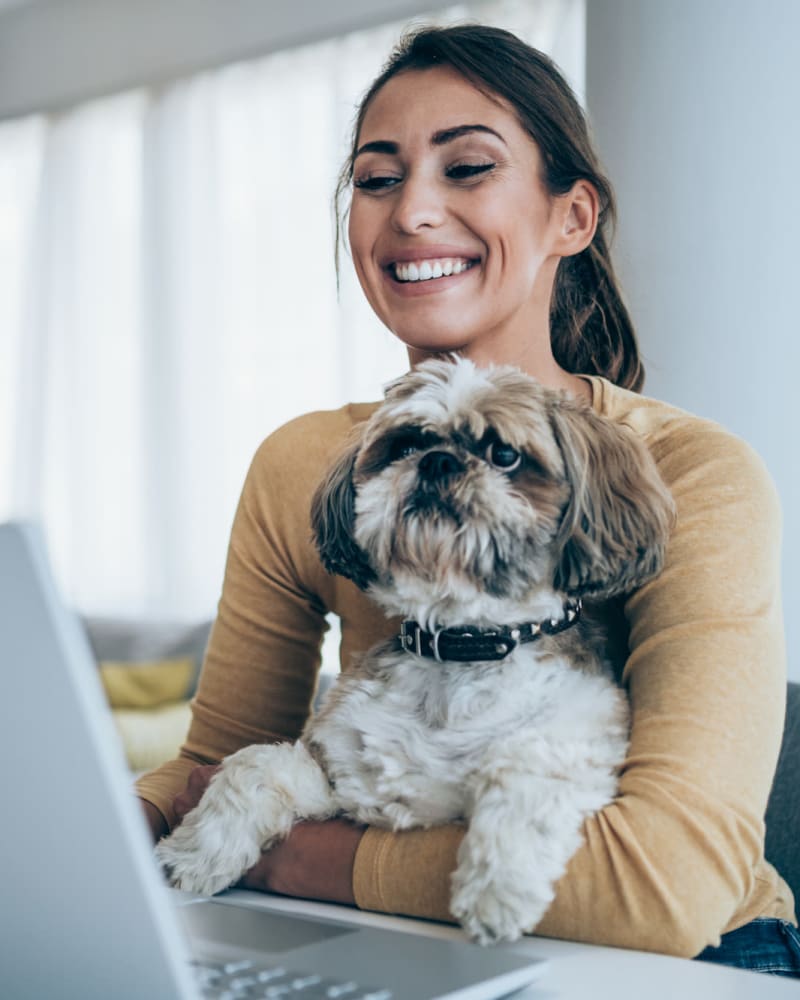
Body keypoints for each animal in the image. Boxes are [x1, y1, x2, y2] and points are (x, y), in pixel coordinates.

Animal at [158, 360, 676, 944]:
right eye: (405, 445)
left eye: (505, 454)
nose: (437, 460)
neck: (459, 646)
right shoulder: (343, 780)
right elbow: (253, 765)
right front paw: (195, 854)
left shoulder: (577, 740)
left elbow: (525, 773)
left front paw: (497, 891)